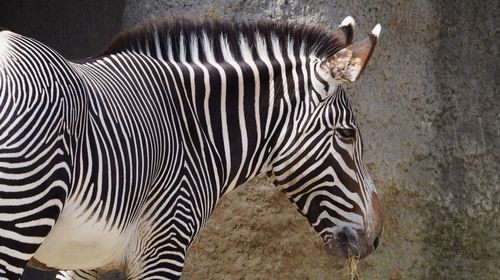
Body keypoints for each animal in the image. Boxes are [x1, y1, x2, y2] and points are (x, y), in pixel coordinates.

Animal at [0, 16, 382, 278]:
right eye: (347, 135)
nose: (377, 237)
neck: (195, 130)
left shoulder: (86, 262)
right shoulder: (163, 248)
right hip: (19, 220)